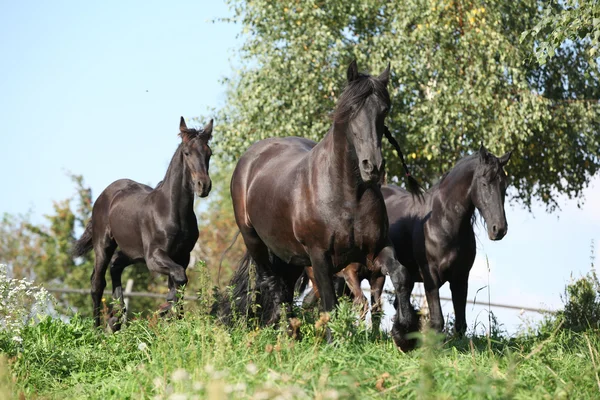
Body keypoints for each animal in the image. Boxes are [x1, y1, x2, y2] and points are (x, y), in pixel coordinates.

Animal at [72, 116, 214, 332]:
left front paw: (175, 321)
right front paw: (165, 310)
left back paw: (116, 317)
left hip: (133, 252)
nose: (203, 186)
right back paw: (97, 329)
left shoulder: (182, 256)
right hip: (104, 245)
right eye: (187, 152)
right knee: (97, 283)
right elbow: (179, 279)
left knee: (116, 265)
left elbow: (179, 284)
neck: (171, 211)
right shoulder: (154, 257)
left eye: (209, 153)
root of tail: (103, 195)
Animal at [219, 60, 422, 350]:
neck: (347, 196)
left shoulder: (376, 251)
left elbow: (401, 276)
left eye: (383, 110)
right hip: (256, 243)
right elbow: (329, 302)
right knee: (273, 285)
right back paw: (287, 333)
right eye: (351, 110)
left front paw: (404, 334)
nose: (372, 167)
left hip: (289, 255)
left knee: (285, 288)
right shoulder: (321, 257)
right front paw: (333, 343)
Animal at [300, 145, 510, 336]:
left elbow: (460, 325)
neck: (444, 221)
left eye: (504, 186)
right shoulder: (430, 277)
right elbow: (437, 321)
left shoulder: (460, 278)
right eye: (484, 183)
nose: (499, 229)